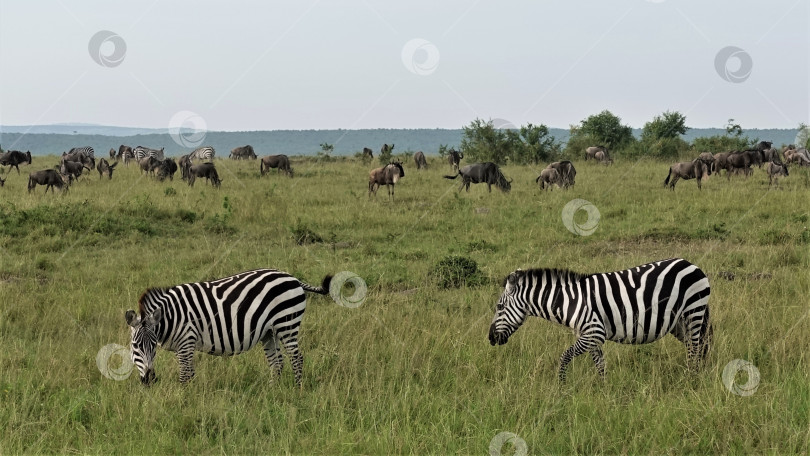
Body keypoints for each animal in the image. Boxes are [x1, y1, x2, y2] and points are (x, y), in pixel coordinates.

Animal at [124, 268, 330, 386]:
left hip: (287, 323)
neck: (171, 317)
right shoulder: (183, 346)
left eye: (152, 345)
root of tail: (292, 277)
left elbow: (184, 376)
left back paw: (297, 390)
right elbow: (190, 373)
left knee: (297, 358)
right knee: (277, 362)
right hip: (269, 332)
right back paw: (273, 392)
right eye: (135, 346)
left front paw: (184, 400)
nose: (149, 380)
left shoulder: (187, 341)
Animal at [486, 256, 708, 382]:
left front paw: (562, 388)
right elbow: (600, 365)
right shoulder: (590, 336)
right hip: (679, 322)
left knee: (696, 348)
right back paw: (695, 375)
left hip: (693, 310)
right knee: (695, 346)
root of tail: (691, 264)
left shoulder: (594, 332)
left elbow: (564, 357)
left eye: (499, 307)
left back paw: (691, 380)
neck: (570, 301)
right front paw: (604, 392)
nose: (490, 338)